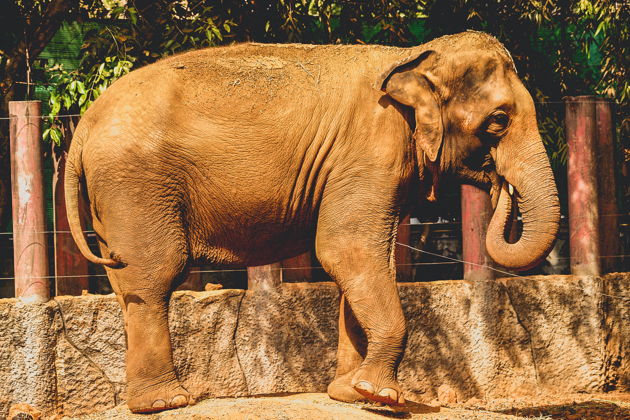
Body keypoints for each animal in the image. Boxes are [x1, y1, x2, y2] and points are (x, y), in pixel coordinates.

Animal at [64, 31, 560, 412]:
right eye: (499, 120)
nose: (501, 185)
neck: (415, 57)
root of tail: (83, 126)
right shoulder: (371, 148)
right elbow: (347, 248)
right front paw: (383, 397)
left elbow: (365, 259)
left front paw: (350, 393)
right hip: (136, 183)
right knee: (154, 274)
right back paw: (165, 403)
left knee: (126, 283)